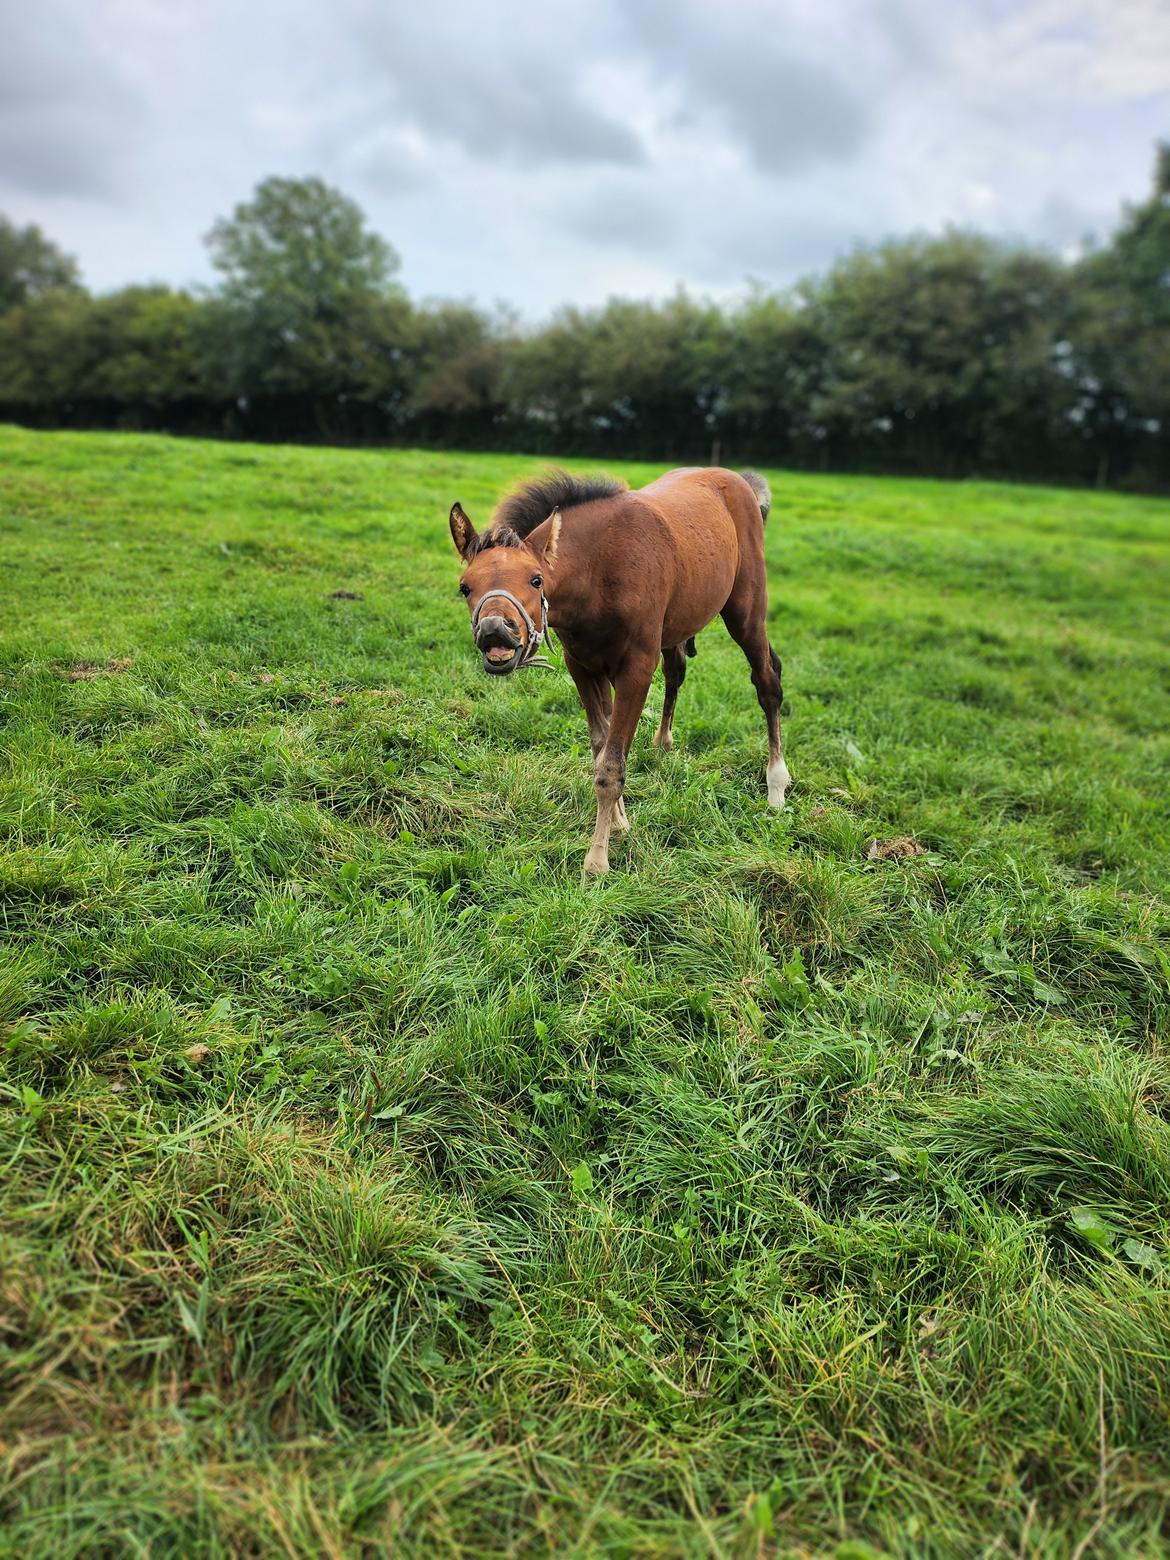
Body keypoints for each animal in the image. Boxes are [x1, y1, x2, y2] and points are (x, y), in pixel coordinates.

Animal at [446, 461, 789, 879]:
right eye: (465, 587)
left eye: (536, 579)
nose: (495, 631)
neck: (599, 570)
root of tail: (739, 481)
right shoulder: (583, 666)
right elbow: (602, 745)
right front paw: (620, 824)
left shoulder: (636, 669)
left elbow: (610, 766)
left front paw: (596, 862)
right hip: (675, 626)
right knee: (677, 671)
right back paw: (663, 743)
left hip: (746, 612)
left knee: (767, 681)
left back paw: (776, 786)